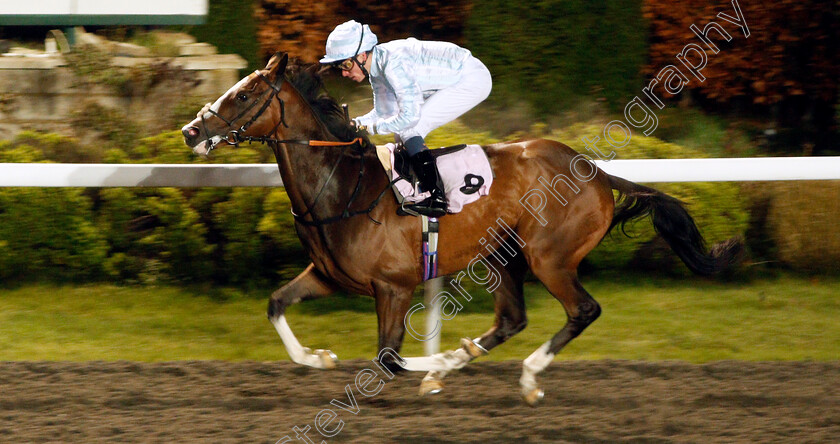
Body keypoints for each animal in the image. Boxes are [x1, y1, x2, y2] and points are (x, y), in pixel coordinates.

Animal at [180, 53, 740, 404]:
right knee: (512, 318)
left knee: (583, 310)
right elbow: (276, 303)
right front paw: (319, 357)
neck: (342, 187)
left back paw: (520, 374)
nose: (191, 130)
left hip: (548, 258)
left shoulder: (394, 286)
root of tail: (597, 172)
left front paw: (433, 370)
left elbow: (387, 358)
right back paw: (468, 360)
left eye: (245, 93)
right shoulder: (330, 275)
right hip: (503, 255)